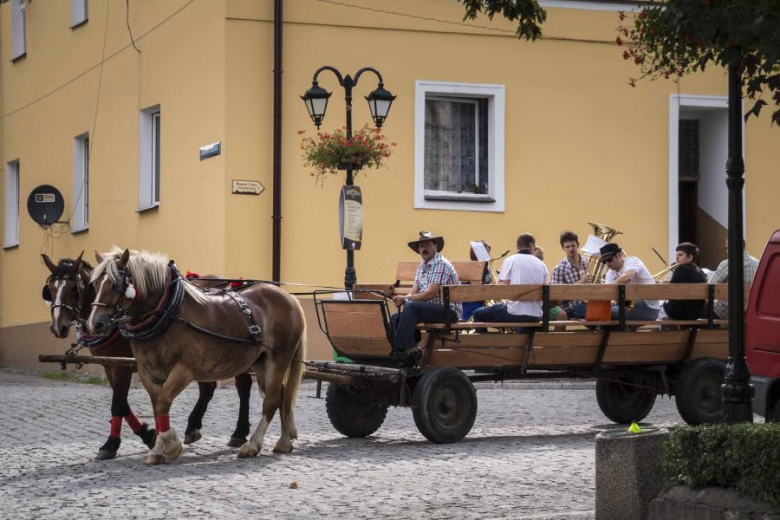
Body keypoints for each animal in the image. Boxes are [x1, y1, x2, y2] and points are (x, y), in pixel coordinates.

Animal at [42, 252, 254, 460]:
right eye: (50, 290)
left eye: (73, 289)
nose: (57, 327)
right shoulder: (110, 366)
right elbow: (125, 404)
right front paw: (152, 435)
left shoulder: (123, 367)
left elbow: (118, 404)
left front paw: (115, 443)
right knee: (208, 388)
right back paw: (193, 427)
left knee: (243, 387)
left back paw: (238, 432)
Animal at [85, 250, 304, 466]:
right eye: (94, 285)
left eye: (115, 284)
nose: (95, 324)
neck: (168, 313)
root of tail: (290, 298)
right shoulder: (147, 371)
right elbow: (157, 406)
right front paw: (158, 446)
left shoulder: (183, 370)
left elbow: (163, 402)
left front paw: (170, 445)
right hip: (260, 361)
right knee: (281, 395)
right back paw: (284, 441)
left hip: (278, 358)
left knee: (271, 400)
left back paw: (252, 444)